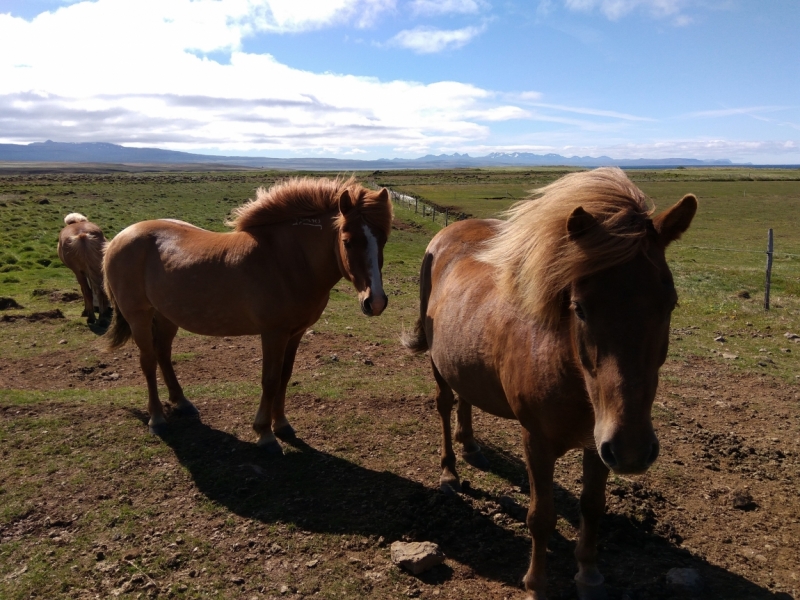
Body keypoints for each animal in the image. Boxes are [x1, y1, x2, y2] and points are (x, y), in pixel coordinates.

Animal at [103, 176, 394, 452]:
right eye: (347, 241)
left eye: (383, 240)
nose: (376, 302)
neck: (286, 260)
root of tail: (118, 238)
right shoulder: (273, 334)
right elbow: (270, 380)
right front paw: (265, 434)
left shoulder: (295, 333)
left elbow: (285, 376)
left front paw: (282, 424)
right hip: (139, 316)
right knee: (148, 361)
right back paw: (157, 419)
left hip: (166, 315)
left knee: (163, 353)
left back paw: (182, 402)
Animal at [404, 168, 696, 600]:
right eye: (580, 307)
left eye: (670, 302)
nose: (632, 450)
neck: (572, 375)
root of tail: (448, 233)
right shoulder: (537, 442)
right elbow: (541, 516)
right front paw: (536, 584)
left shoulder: (598, 444)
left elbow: (592, 506)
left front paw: (589, 574)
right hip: (438, 365)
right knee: (444, 405)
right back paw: (450, 472)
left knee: (465, 399)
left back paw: (471, 446)